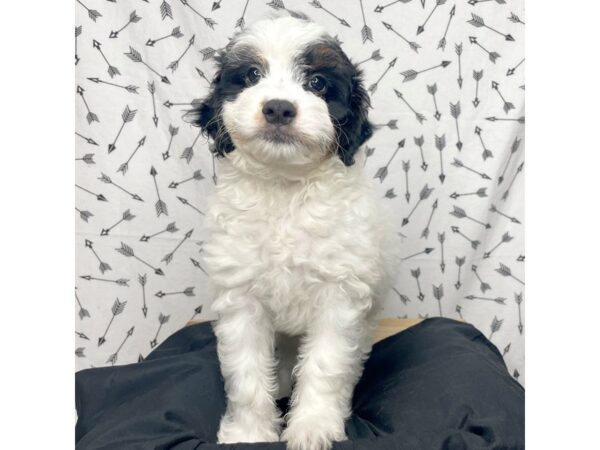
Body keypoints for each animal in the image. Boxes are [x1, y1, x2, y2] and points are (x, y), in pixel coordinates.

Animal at [183, 13, 398, 450]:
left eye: (317, 83)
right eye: (251, 75)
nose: (279, 108)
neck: (285, 189)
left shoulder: (340, 295)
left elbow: (326, 364)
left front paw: (314, 427)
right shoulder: (241, 297)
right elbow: (246, 373)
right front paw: (249, 434)